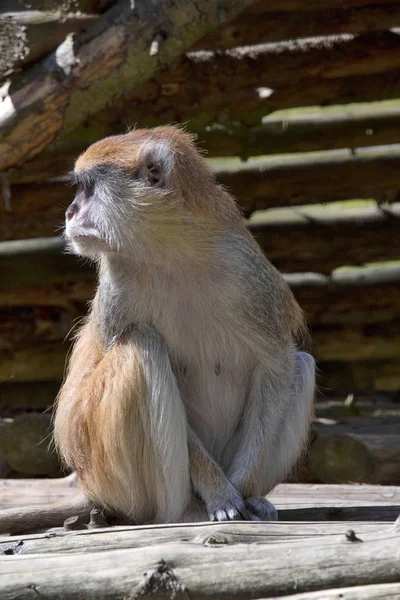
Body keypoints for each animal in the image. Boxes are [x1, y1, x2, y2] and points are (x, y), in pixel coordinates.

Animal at [0, 124, 314, 532]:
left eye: (88, 189)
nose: (70, 211)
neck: (172, 253)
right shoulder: (119, 283)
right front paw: (221, 495)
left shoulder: (248, 276)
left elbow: (277, 362)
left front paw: (244, 491)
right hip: (111, 474)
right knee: (140, 345)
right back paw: (183, 511)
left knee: (302, 365)